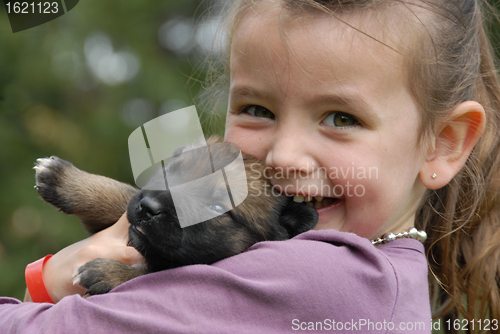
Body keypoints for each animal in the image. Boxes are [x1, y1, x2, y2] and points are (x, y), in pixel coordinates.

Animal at [35, 136, 318, 294]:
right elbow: (124, 194)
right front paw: (64, 180)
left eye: (217, 207)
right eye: (171, 172)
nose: (148, 208)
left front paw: (109, 273)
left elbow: (152, 273)